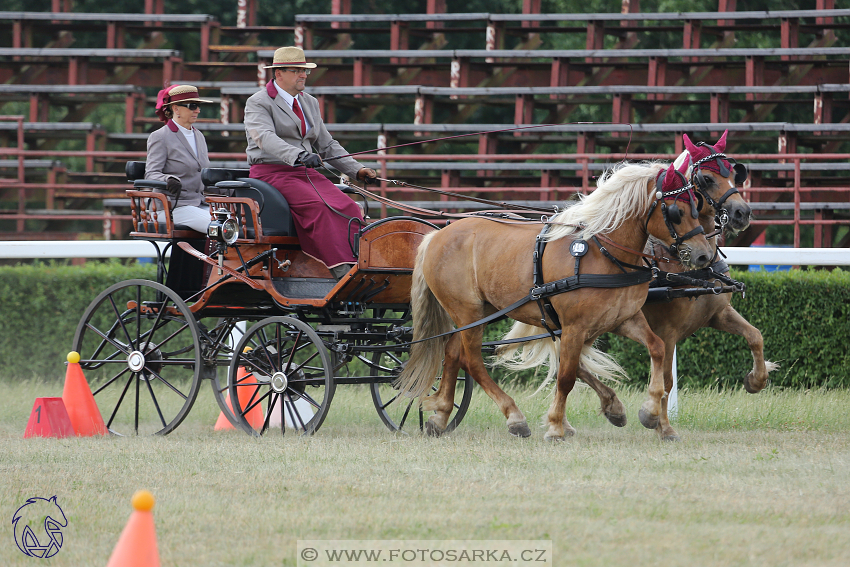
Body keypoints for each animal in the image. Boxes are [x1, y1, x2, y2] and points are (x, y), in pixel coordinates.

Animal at [394, 160, 712, 440]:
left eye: (696, 206)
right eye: (677, 211)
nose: (704, 255)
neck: (602, 252)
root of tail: (436, 236)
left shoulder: (623, 318)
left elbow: (657, 348)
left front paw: (649, 412)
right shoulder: (574, 327)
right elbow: (567, 376)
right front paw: (557, 427)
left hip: (481, 311)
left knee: (452, 353)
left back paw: (440, 416)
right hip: (467, 312)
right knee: (471, 360)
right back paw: (514, 417)